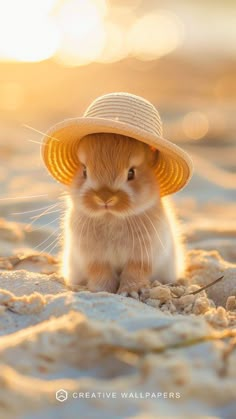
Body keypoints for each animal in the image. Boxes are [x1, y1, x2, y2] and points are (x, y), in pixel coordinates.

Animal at [61, 133, 185, 296]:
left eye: (131, 173)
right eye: (84, 171)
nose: (104, 198)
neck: (111, 217)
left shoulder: (142, 256)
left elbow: (134, 271)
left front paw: (131, 292)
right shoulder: (94, 257)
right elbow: (100, 271)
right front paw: (103, 291)